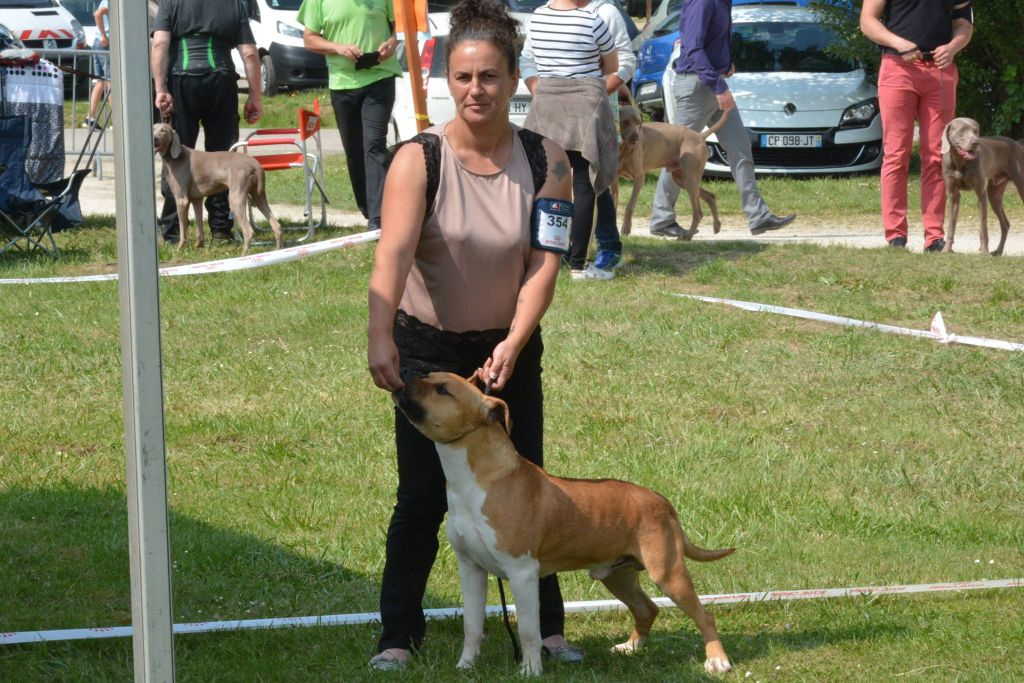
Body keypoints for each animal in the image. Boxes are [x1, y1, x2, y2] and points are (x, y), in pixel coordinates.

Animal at [150, 121, 284, 254]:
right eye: (153, 128)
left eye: (163, 131)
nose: (154, 138)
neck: (176, 157)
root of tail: (255, 164)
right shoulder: (196, 199)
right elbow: (199, 225)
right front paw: (198, 246)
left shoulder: (182, 200)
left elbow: (183, 229)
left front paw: (179, 248)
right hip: (258, 195)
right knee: (276, 226)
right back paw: (278, 251)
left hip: (236, 198)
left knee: (248, 231)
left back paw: (243, 255)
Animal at [391, 374, 737, 679]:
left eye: (442, 389)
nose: (403, 379)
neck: (479, 481)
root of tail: (662, 501)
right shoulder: (471, 568)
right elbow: (472, 626)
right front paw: (465, 667)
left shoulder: (522, 573)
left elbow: (529, 630)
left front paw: (530, 671)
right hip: (617, 575)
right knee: (647, 609)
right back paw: (630, 647)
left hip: (667, 573)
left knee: (704, 615)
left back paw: (717, 661)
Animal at [614, 102, 729, 239]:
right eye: (625, 122)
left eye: (638, 122)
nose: (636, 138)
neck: (623, 148)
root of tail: (699, 135)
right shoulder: (612, 180)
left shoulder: (639, 178)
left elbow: (629, 205)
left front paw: (626, 229)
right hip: (681, 179)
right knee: (710, 196)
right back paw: (716, 226)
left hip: (689, 178)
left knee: (698, 213)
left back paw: (688, 236)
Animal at [937, 117, 1024, 255]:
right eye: (962, 130)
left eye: (976, 131)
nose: (975, 143)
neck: (960, 162)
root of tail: (1017, 143)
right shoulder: (953, 195)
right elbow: (951, 225)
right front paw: (946, 250)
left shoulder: (981, 194)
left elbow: (983, 227)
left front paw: (984, 252)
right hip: (994, 193)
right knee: (1005, 224)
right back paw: (998, 251)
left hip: (1019, 185)